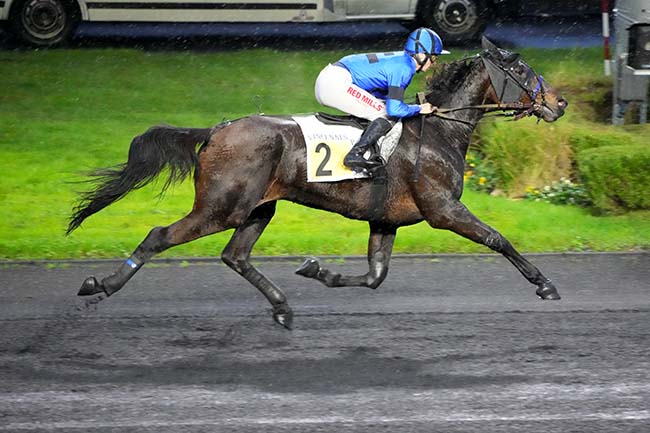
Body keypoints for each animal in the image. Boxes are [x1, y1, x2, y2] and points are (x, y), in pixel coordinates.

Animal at [68, 38, 568, 330]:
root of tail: (217, 129)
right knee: (159, 236)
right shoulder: (443, 210)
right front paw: (545, 284)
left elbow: (374, 276)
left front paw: (316, 270)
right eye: (523, 72)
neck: (441, 129)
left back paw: (282, 306)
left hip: (258, 207)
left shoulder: (385, 220)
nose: (559, 103)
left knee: (235, 255)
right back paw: (100, 286)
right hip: (221, 207)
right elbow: (498, 239)